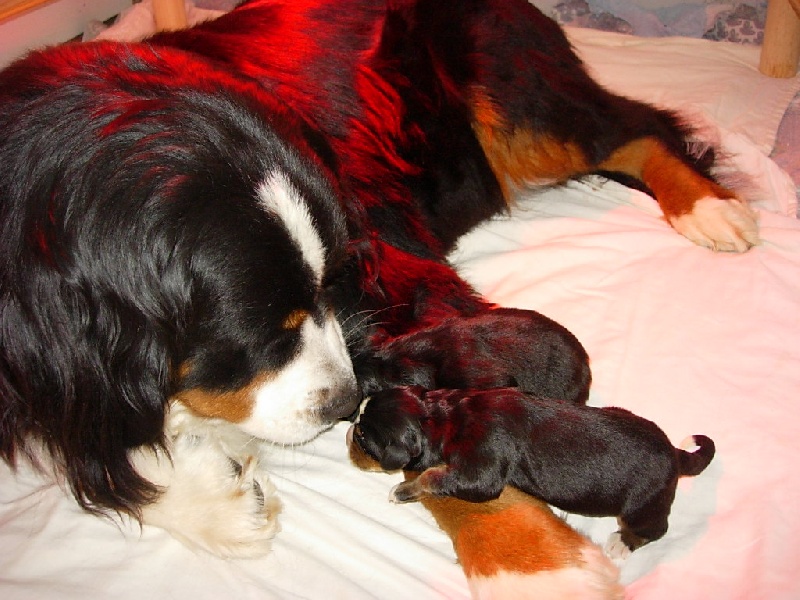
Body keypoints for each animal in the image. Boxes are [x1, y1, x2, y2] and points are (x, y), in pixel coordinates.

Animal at [346, 384, 716, 556]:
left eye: (363, 438)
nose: (348, 432)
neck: (443, 416)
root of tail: (674, 453)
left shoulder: (481, 473)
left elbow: (433, 476)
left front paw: (402, 490)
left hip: (644, 502)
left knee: (655, 528)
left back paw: (622, 543)